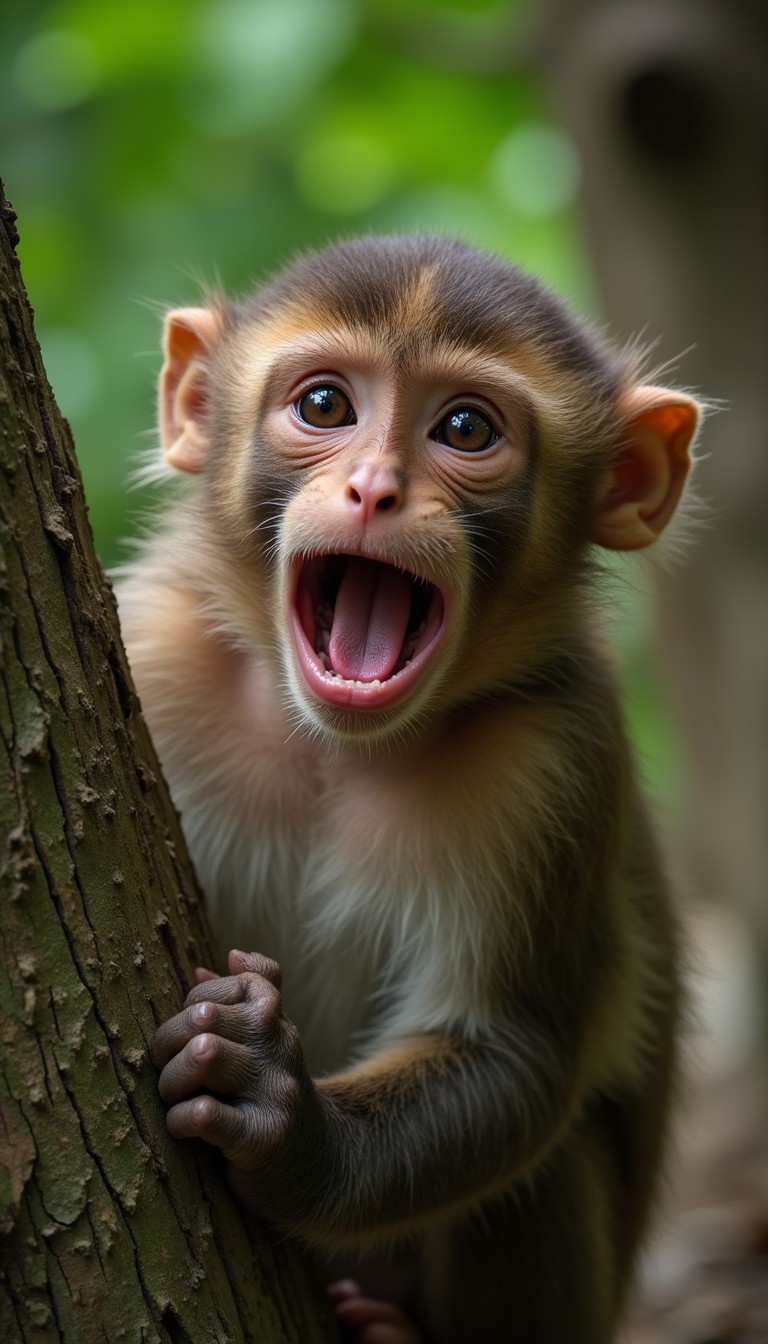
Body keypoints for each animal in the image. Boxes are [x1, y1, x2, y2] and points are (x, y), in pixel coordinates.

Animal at [116, 234, 702, 1344]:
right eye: (325, 406)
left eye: (465, 428)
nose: (374, 491)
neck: (334, 747)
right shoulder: (157, 647)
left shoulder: (556, 757)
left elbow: (512, 1052)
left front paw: (285, 1123)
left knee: (546, 1173)